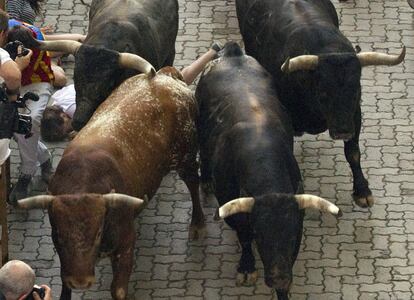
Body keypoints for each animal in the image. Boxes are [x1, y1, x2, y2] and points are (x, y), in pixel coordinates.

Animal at [17, 63, 205, 300]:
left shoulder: (126, 243)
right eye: (59, 234)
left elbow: (118, 289)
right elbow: (64, 281)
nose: (80, 281)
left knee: (193, 182)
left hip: (185, 157)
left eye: (98, 232)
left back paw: (198, 224)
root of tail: (164, 77)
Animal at [194, 42, 340, 300]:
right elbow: (243, 237)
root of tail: (232, 52)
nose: (278, 277)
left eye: (292, 235)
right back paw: (206, 182)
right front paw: (246, 267)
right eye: (260, 234)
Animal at [236, 0, 404, 209]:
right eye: (324, 93)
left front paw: (362, 191)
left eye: (356, 91)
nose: (343, 131)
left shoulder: (355, 114)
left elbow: (353, 153)